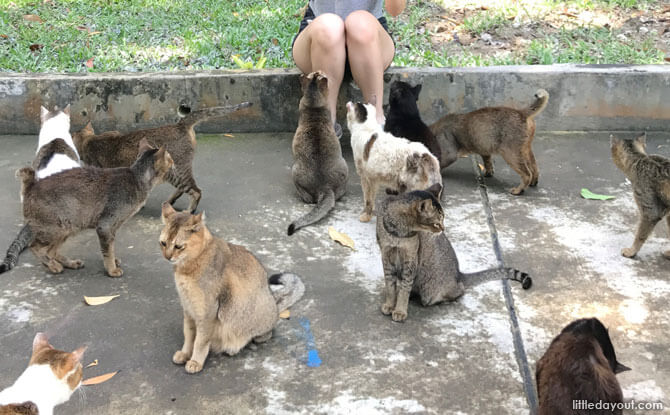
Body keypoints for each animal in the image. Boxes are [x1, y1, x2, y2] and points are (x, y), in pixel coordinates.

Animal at [0, 138, 176, 278]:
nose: (175, 164)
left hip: (69, 227)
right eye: (170, 159)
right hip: (57, 228)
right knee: (36, 247)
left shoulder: (112, 228)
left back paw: (69, 263)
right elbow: (107, 251)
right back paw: (53, 266)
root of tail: (31, 186)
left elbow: (111, 248)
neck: (136, 177)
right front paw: (111, 269)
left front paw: (113, 261)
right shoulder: (105, 226)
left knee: (51, 251)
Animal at [72, 102, 253, 213]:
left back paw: (189, 210)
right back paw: (170, 202)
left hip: (176, 172)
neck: (90, 140)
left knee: (196, 191)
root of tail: (181, 124)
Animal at [160, 203, 304, 376]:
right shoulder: (188, 309)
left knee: (266, 333)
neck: (186, 269)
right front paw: (185, 353)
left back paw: (237, 346)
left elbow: (200, 341)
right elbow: (189, 335)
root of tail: (274, 303)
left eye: (178, 246)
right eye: (163, 243)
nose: (167, 257)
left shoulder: (207, 312)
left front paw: (195, 361)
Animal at [378, 187, 532, 324]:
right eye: (436, 223)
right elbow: (390, 286)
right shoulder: (386, 256)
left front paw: (400, 311)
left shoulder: (410, 260)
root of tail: (459, 274)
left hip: (432, 291)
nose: (443, 229)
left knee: (459, 290)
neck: (398, 233)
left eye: (443, 219)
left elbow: (404, 289)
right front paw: (390, 305)